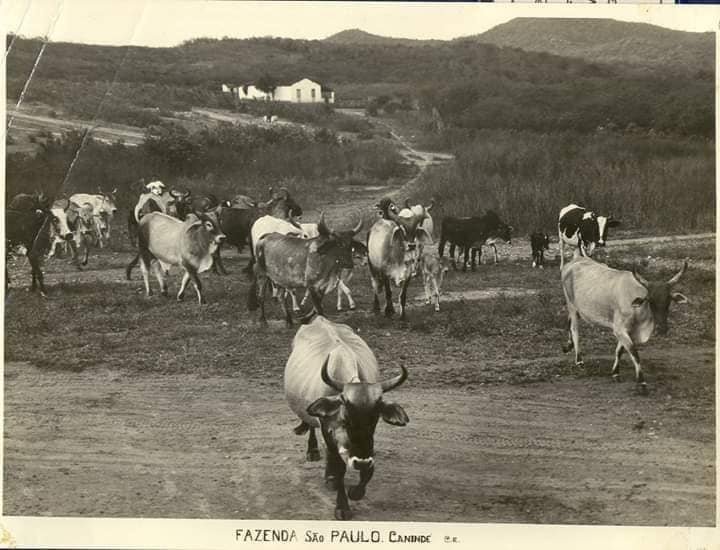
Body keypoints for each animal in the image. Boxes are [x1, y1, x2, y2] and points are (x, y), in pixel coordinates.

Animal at [284, 314, 408, 520]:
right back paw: (314, 452)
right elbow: (339, 467)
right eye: (347, 416)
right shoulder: (327, 428)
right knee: (313, 430)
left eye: (375, 418)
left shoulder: (366, 446)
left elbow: (369, 469)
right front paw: (342, 505)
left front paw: (356, 491)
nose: (360, 461)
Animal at [560, 256, 688, 394]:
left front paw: (615, 373)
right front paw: (641, 382)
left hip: (577, 309)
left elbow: (619, 351)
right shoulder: (620, 329)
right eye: (650, 300)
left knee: (569, 322)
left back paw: (568, 346)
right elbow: (634, 353)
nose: (662, 328)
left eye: (668, 300)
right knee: (574, 329)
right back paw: (579, 360)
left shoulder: (629, 331)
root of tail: (575, 260)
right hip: (571, 305)